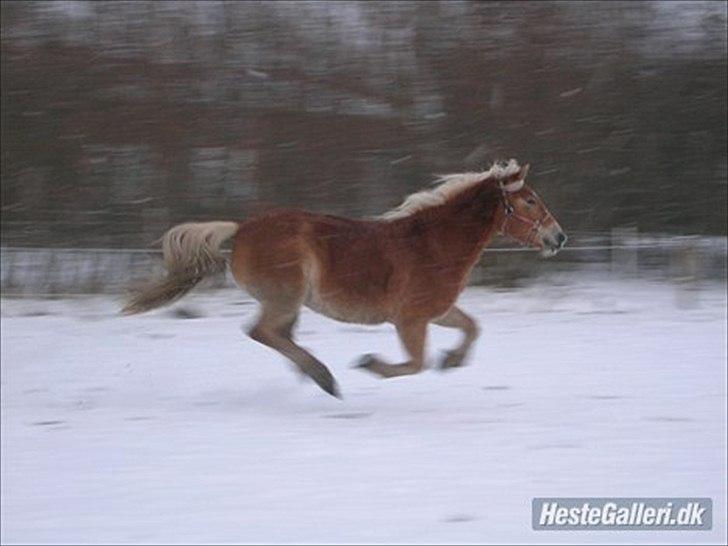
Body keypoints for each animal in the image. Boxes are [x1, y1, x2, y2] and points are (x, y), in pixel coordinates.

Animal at [123, 157, 568, 396]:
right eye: (530, 201)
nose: (559, 237)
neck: (433, 244)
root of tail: (242, 229)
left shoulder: (436, 311)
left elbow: (472, 328)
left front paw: (453, 361)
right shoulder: (409, 320)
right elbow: (415, 364)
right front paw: (371, 363)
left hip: (290, 303)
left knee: (279, 335)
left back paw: (311, 374)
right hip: (285, 297)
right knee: (261, 332)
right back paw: (324, 377)